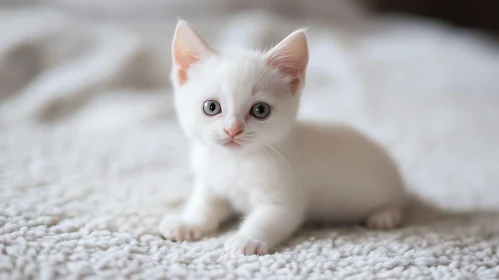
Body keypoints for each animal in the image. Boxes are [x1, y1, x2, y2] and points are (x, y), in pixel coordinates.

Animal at [160, 20, 406, 255]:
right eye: (211, 107)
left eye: (260, 110)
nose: (233, 129)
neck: (236, 162)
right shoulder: (210, 182)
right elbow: (203, 205)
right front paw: (187, 223)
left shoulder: (284, 200)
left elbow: (266, 220)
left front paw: (247, 239)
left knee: (397, 201)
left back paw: (384, 215)